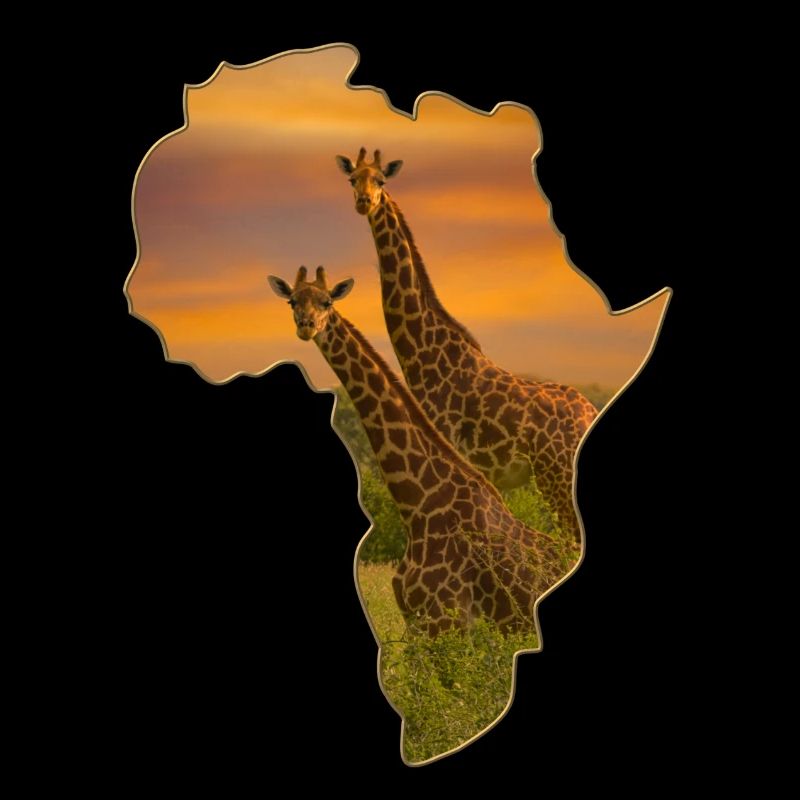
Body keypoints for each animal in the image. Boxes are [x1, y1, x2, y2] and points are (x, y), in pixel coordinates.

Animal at [268, 266, 572, 636]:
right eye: (292, 301)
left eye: (327, 301)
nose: (307, 325)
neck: (418, 505)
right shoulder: (417, 626)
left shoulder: (447, 622)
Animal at [335, 148, 598, 545]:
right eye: (353, 179)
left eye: (380, 180)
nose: (364, 202)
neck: (423, 356)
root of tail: (590, 414)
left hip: (556, 474)